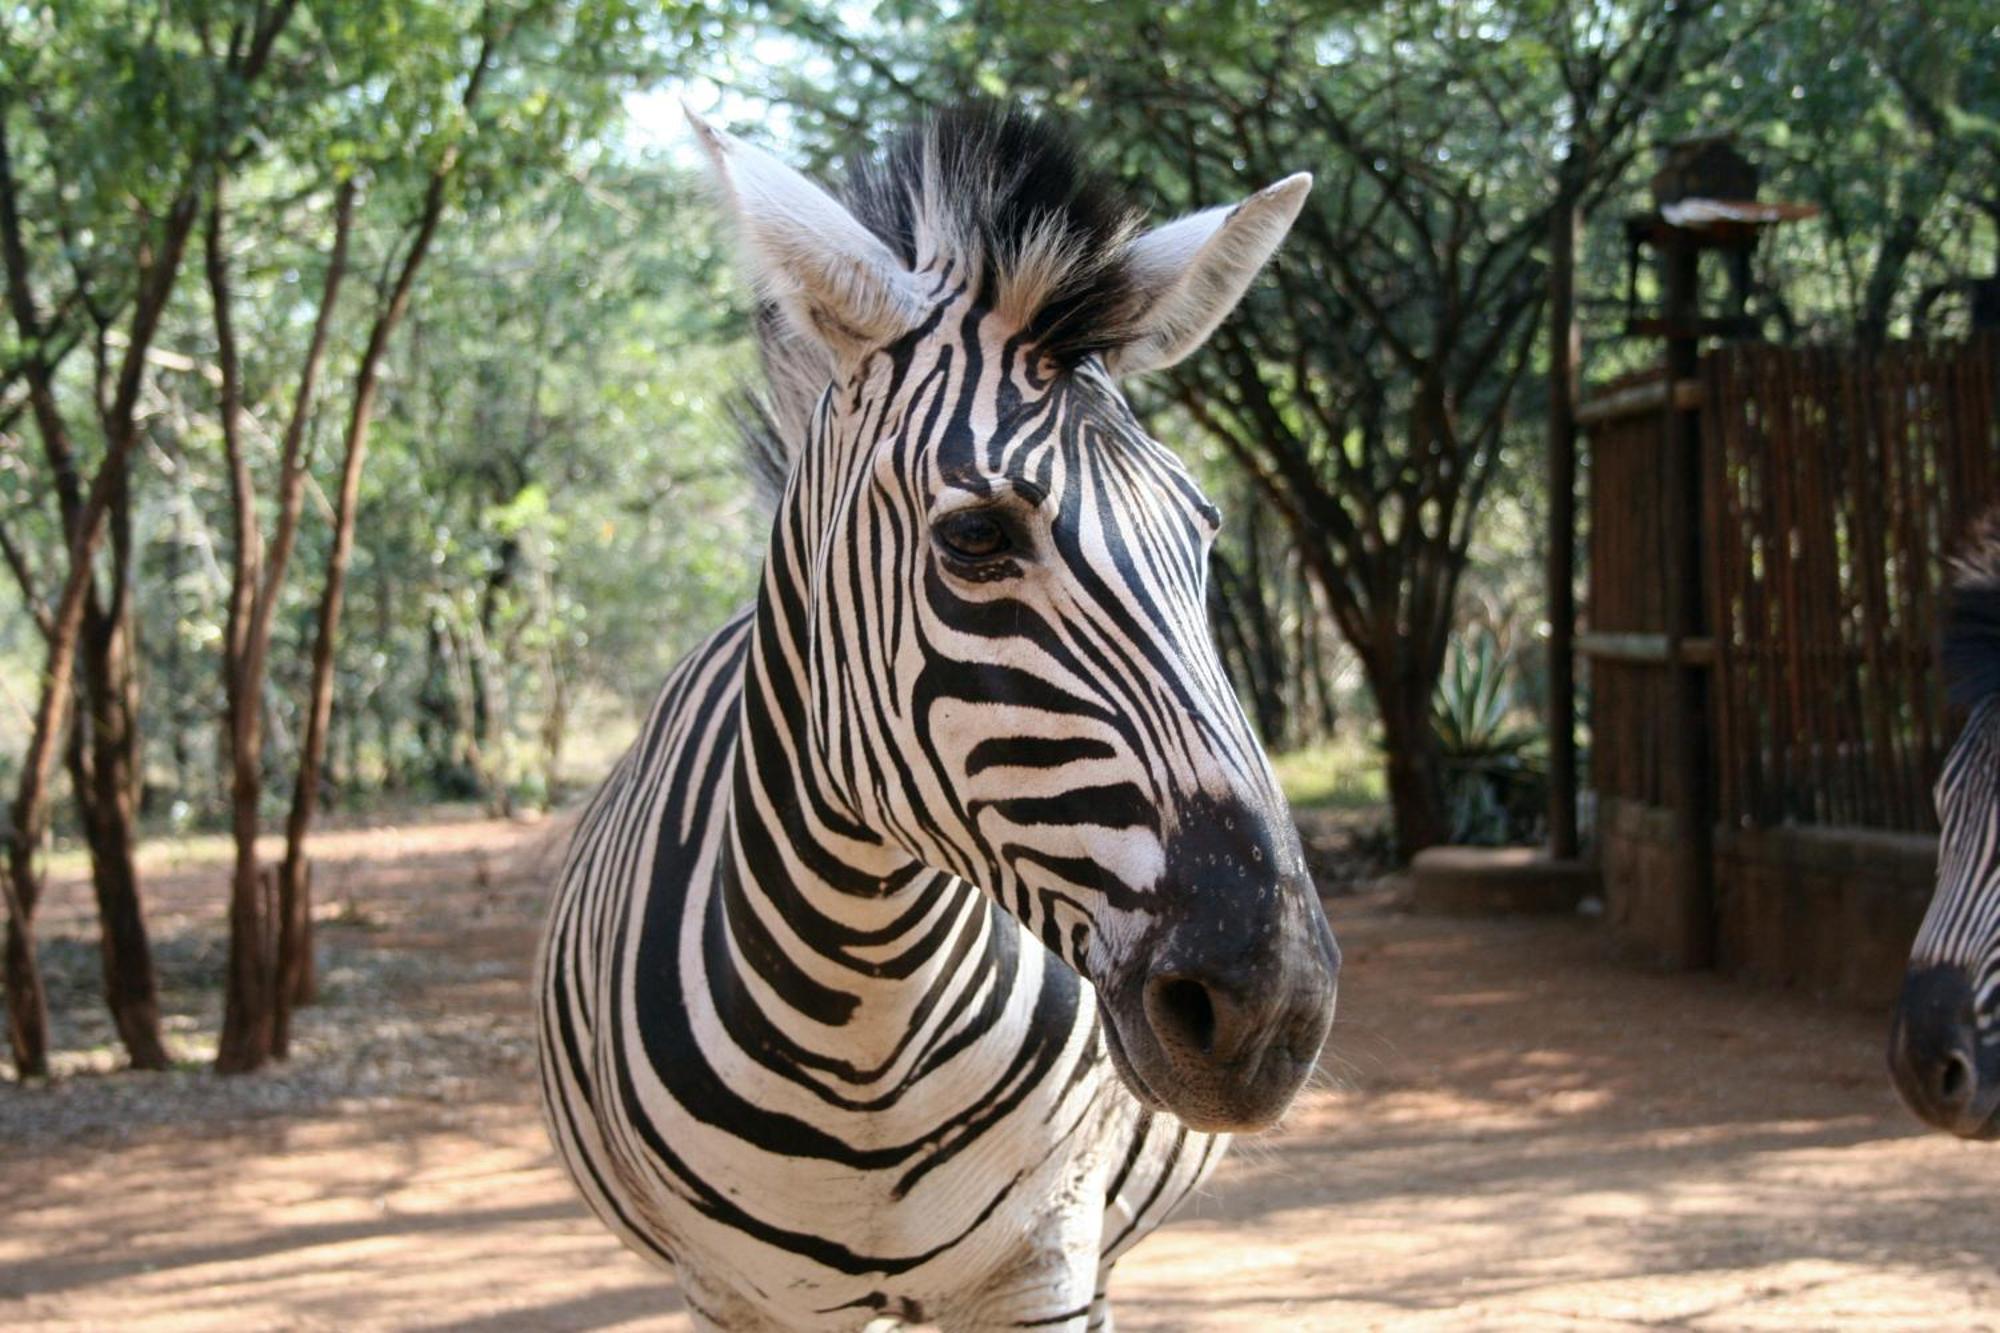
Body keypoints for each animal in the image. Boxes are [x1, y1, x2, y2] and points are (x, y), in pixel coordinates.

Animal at [536, 106, 1344, 1328]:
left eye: (1202, 533)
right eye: (974, 537)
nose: (1271, 1011)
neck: (864, 1002)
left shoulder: (1042, 1263)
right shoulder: (739, 1294)